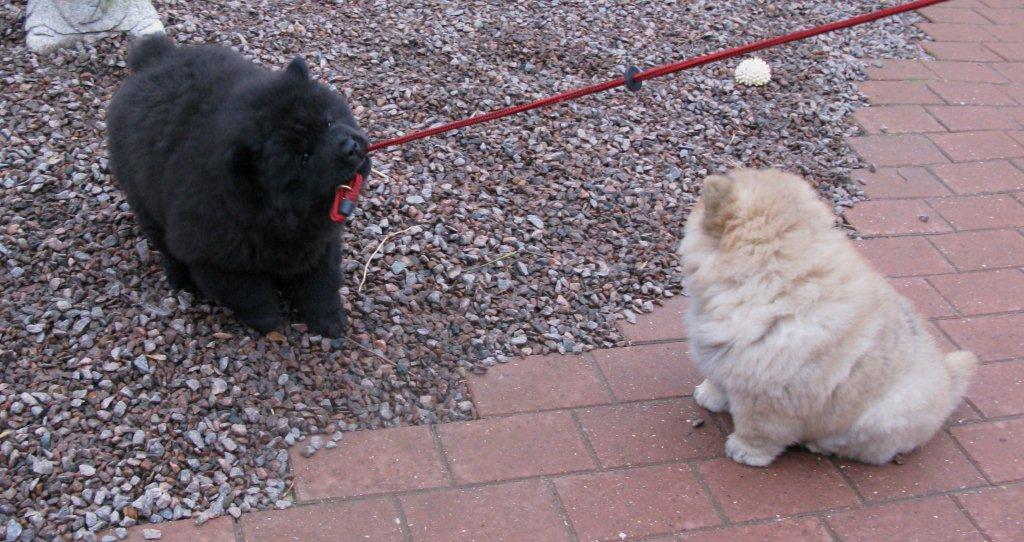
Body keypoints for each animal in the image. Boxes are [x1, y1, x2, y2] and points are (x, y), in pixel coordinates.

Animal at [103, 34, 366, 334]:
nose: (350, 147)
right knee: (163, 244)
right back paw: (182, 280)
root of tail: (156, 58)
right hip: (143, 200)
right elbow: (251, 297)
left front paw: (330, 323)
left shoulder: (317, 243)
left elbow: (321, 286)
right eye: (304, 157)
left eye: (329, 122)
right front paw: (269, 324)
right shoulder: (217, 261)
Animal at [679, 168, 974, 465]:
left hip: (878, 420)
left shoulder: (768, 394)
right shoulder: (722, 359)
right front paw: (708, 396)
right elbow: (718, 380)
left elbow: (758, 428)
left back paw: (817, 446)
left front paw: (743, 451)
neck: (769, 278)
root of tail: (948, 381)